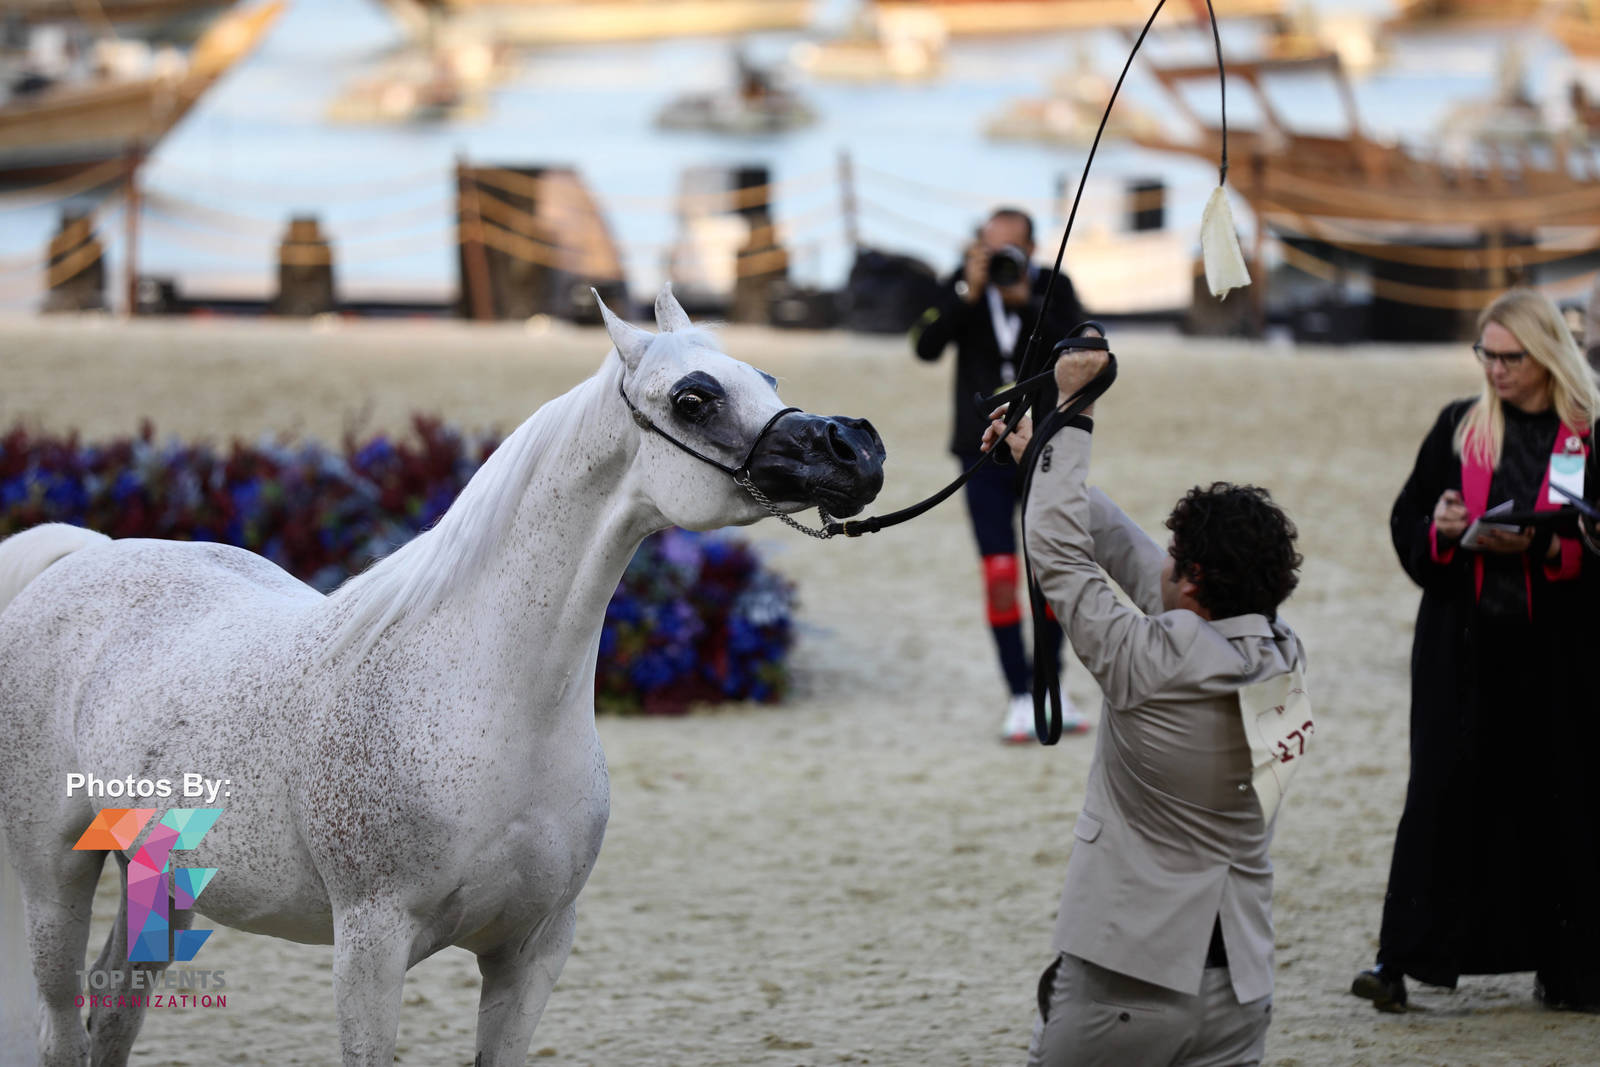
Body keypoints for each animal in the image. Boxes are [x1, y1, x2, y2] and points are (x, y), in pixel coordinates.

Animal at [0, 286, 885, 1066]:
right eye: (694, 398)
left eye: (767, 378)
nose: (858, 447)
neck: (488, 697)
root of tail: (83, 553)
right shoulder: (370, 945)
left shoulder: (533, 951)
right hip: (54, 872)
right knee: (61, 1023)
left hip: (167, 885)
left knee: (116, 1008)